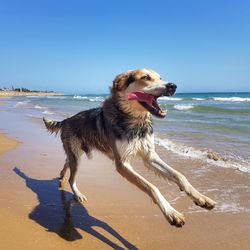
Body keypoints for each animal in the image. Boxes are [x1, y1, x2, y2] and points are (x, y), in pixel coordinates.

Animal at [43, 68, 215, 227]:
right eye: (145, 77)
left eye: (160, 77)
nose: (173, 86)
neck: (135, 121)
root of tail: (65, 120)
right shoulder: (122, 164)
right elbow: (152, 187)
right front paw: (171, 212)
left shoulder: (149, 156)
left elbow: (179, 176)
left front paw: (201, 198)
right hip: (77, 157)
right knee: (72, 177)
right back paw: (77, 194)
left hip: (75, 154)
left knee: (66, 162)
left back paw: (61, 176)